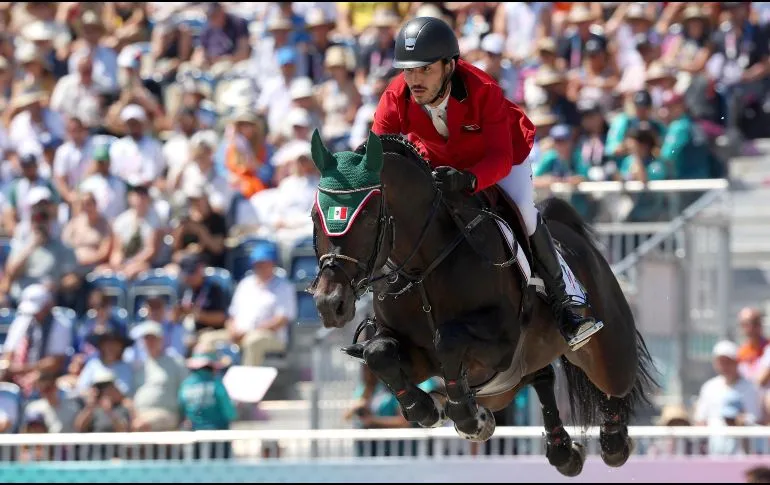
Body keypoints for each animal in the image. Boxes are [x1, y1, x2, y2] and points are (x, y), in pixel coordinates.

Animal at [306, 130, 656, 476]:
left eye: (366, 219)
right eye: (314, 216)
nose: (330, 303)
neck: (423, 266)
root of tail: (575, 237)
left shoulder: (501, 344)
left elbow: (447, 340)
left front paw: (469, 418)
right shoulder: (414, 354)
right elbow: (379, 353)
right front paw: (429, 408)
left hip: (605, 350)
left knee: (614, 384)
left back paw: (614, 441)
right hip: (507, 384)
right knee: (542, 377)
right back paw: (563, 452)